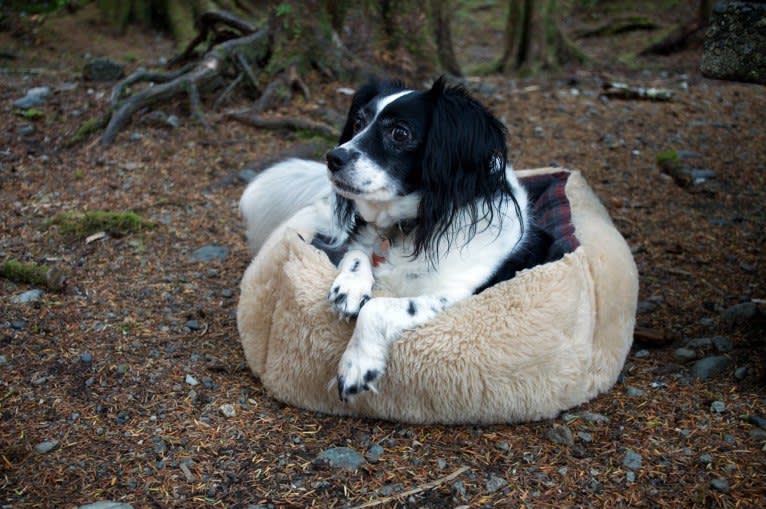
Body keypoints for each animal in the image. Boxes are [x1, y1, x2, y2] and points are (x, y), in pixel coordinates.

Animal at [240, 76, 544, 400]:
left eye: (400, 132)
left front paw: (356, 365)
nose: (333, 157)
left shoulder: (457, 293)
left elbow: (378, 308)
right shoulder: (359, 239)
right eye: (359, 121)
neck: (404, 227)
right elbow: (356, 254)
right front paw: (350, 288)